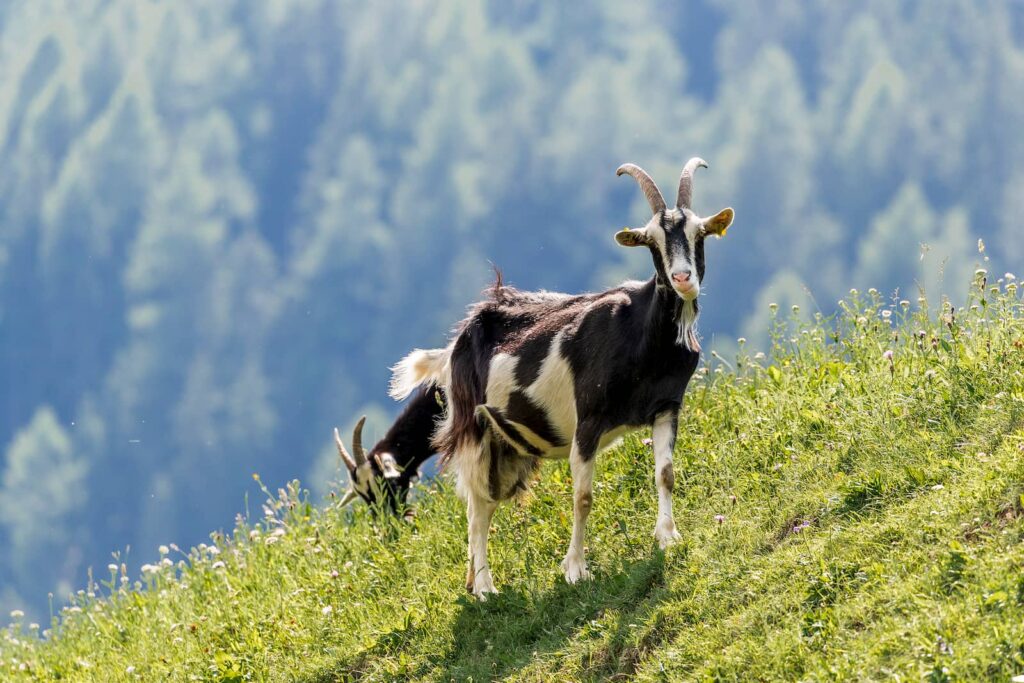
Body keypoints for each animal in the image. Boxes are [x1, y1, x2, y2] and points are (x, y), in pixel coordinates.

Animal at [390, 158, 734, 597]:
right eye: (651, 242)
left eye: (699, 233)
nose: (683, 278)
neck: (642, 334)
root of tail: (453, 348)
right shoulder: (588, 421)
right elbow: (583, 497)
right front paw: (575, 569)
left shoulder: (666, 406)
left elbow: (666, 474)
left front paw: (668, 537)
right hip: (474, 432)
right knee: (478, 507)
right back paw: (485, 587)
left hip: (509, 448)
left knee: (483, 503)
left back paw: (472, 580)